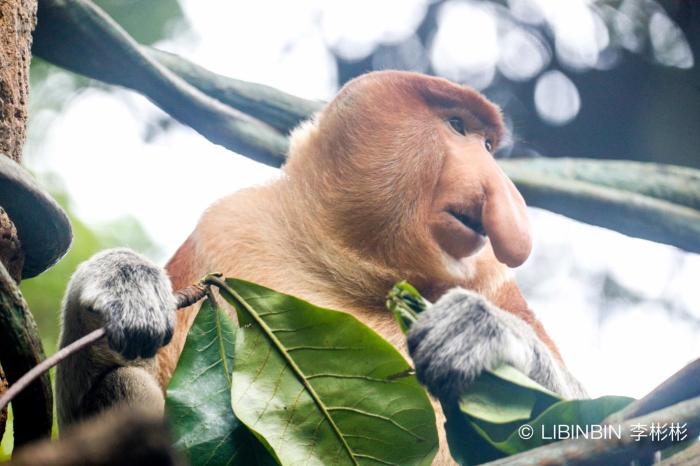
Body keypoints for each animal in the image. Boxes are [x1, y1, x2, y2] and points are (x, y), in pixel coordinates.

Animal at [57, 71, 588, 464]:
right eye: (458, 127)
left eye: (489, 146)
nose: (503, 191)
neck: (348, 263)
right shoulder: (225, 225)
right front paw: (122, 281)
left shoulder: (493, 278)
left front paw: (478, 330)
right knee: (125, 384)